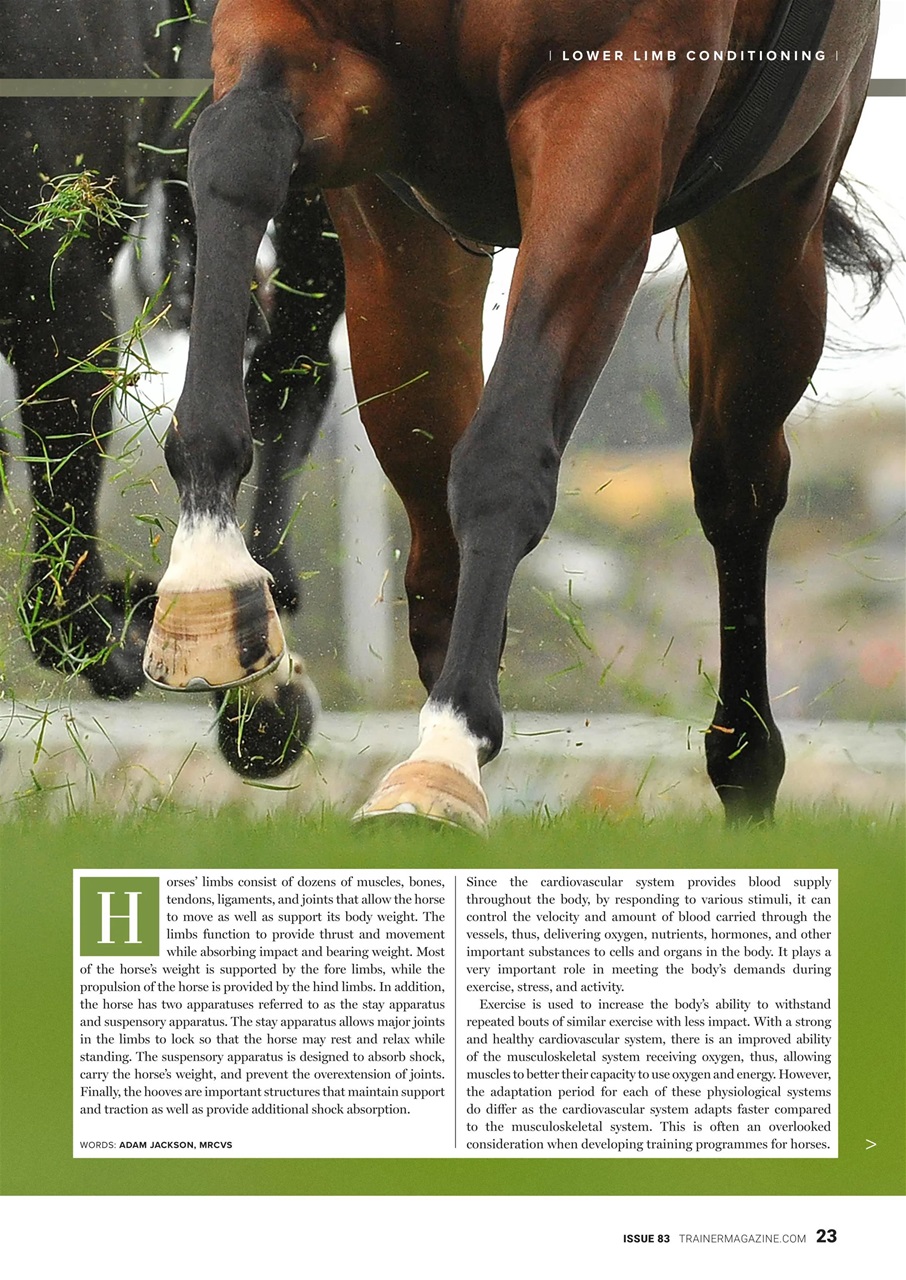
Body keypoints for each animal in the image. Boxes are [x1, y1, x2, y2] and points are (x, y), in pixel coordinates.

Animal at [143, 0, 890, 827]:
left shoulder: (611, 107)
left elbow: (503, 457)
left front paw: (443, 760)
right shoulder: (332, 94)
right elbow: (237, 146)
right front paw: (210, 584)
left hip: (774, 213)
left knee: (738, 484)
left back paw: (741, 763)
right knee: (436, 539)